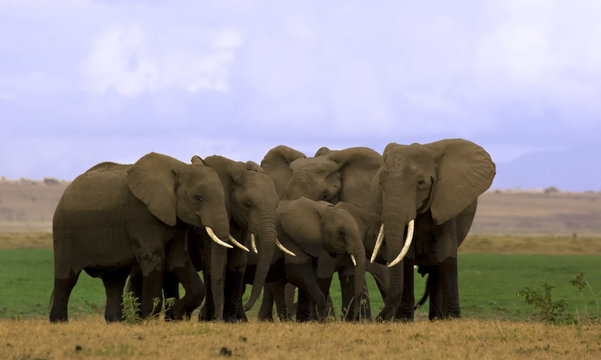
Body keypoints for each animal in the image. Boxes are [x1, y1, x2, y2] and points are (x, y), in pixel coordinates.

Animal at [49, 150, 230, 322]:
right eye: (198, 198)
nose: (216, 319)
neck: (180, 167)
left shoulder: (176, 220)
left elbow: (177, 260)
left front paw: (175, 312)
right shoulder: (141, 215)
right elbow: (154, 261)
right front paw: (148, 319)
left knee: (114, 281)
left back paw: (116, 321)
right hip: (64, 230)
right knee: (67, 279)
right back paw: (59, 322)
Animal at [372, 138, 494, 320]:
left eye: (420, 183)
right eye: (381, 183)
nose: (378, 318)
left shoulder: (447, 200)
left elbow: (446, 252)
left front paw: (453, 319)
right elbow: (406, 255)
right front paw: (403, 320)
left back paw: (437, 318)